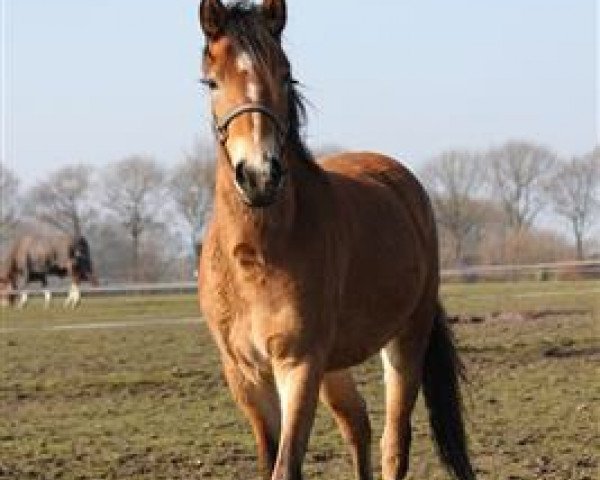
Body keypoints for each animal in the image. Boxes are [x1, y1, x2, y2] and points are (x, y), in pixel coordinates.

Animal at [197, 1, 478, 478]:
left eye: (285, 75)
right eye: (212, 81)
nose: (259, 176)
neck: (257, 256)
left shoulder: (299, 364)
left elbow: (286, 466)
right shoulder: (246, 375)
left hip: (406, 339)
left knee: (393, 442)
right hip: (333, 368)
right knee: (357, 424)